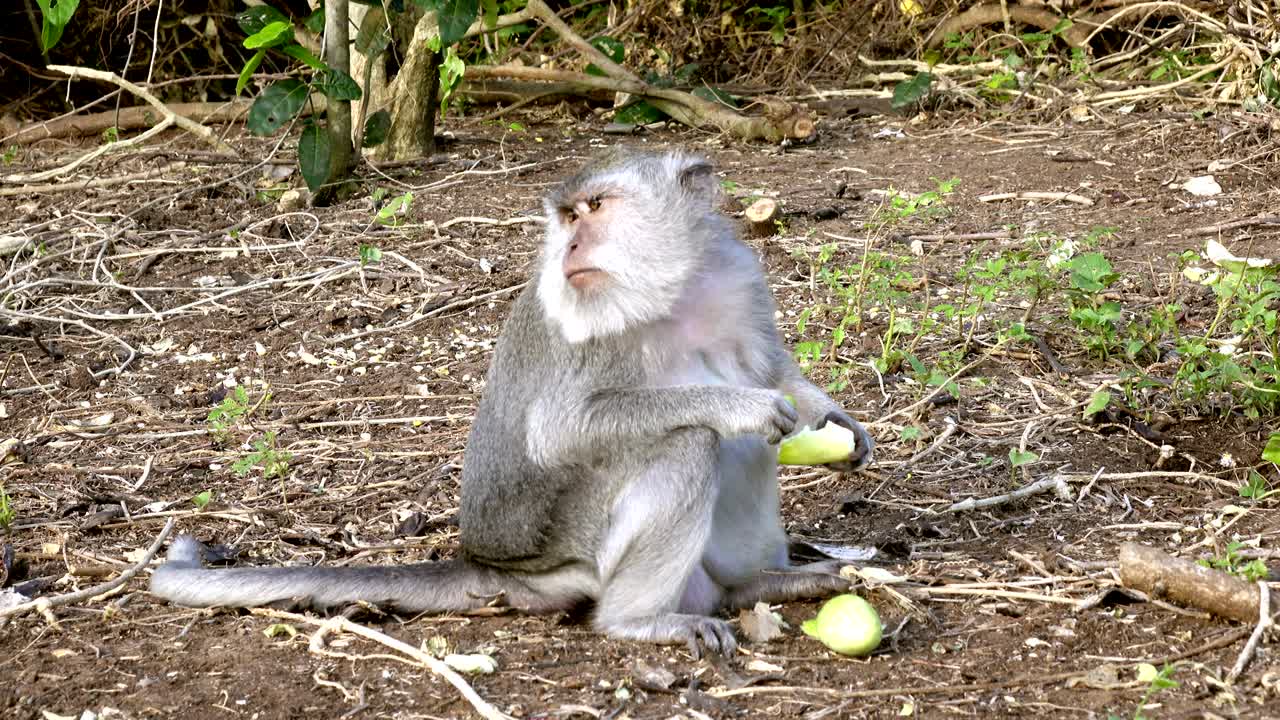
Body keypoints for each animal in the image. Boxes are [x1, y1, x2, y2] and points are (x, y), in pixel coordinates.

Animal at [150, 150, 875, 656]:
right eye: (569, 218)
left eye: (596, 207)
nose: (572, 246)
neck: (675, 291)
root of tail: (493, 564)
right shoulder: (587, 325)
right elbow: (563, 429)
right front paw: (737, 405)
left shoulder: (738, 276)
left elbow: (773, 369)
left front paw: (836, 422)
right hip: (576, 546)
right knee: (686, 442)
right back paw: (639, 620)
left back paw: (754, 586)